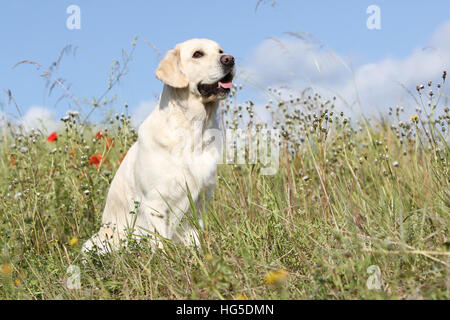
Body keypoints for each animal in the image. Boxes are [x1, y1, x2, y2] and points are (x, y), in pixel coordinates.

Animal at [81, 39, 236, 255]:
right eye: (197, 54)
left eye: (220, 51)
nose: (230, 59)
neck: (192, 131)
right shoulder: (155, 203)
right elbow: (161, 244)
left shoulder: (198, 202)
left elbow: (194, 239)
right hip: (94, 242)